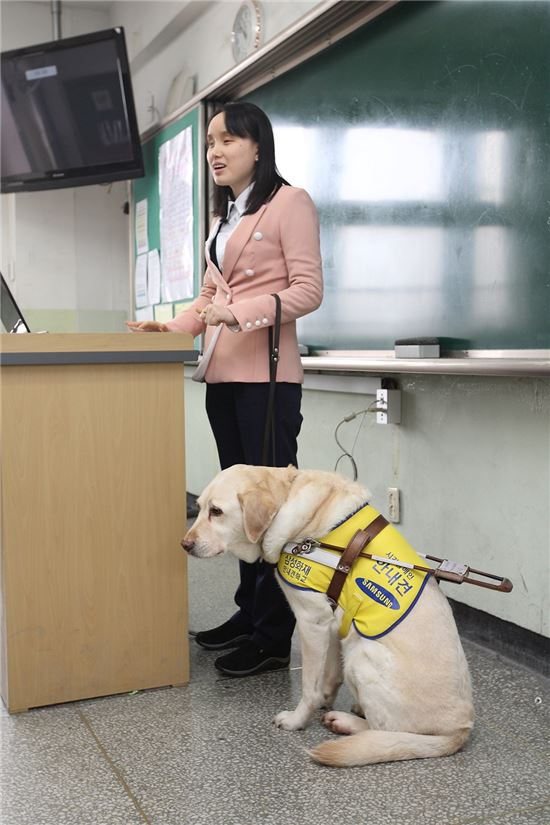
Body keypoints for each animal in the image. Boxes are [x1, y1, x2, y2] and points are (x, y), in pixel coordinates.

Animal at [183, 464, 476, 768]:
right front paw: (325, 698)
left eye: (216, 511)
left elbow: (309, 687)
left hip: (362, 657)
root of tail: (460, 729)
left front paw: (297, 720)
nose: (184, 544)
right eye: (200, 507)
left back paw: (346, 723)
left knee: (385, 730)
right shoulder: (335, 624)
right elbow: (328, 678)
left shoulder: (311, 622)